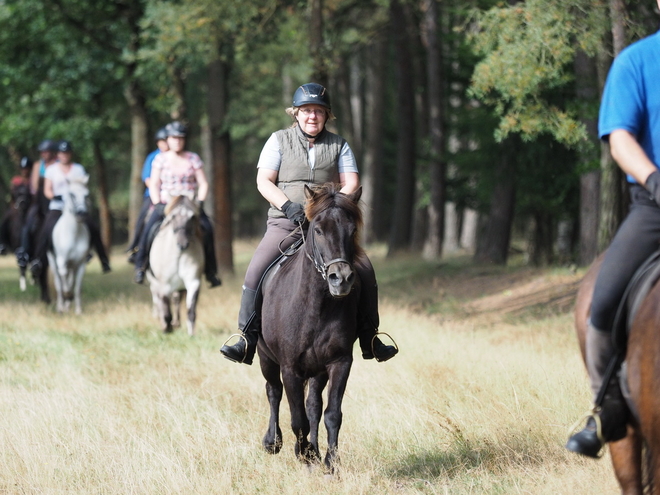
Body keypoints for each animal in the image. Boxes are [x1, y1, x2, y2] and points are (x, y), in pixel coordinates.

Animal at [47, 174, 91, 314]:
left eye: (86, 195)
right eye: (71, 194)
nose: (82, 213)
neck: (74, 234)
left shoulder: (81, 264)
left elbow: (76, 287)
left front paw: (78, 311)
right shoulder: (62, 262)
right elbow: (64, 282)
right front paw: (67, 296)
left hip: (73, 265)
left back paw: (67, 306)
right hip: (52, 261)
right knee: (59, 283)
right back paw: (60, 307)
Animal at [147, 196, 204, 336]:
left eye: (192, 217)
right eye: (173, 217)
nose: (182, 244)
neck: (179, 254)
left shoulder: (193, 282)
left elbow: (191, 310)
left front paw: (191, 333)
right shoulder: (164, 285)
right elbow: (166, 309)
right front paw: (166, 328)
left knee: (176, 299)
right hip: (154, 282)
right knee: (158, 299)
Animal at [256, 182, 360, 472]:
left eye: (353, 230)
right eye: (318, 230)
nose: (341, 279)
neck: (316, 306)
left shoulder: (339, 362)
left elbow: (331, 413)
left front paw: (329, 462)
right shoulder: (290, 367)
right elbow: (297, 418)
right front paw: (304, 453)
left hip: (317, 369)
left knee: (313, 404)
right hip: (266, 358)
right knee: (273, 391)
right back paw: (273, 441)